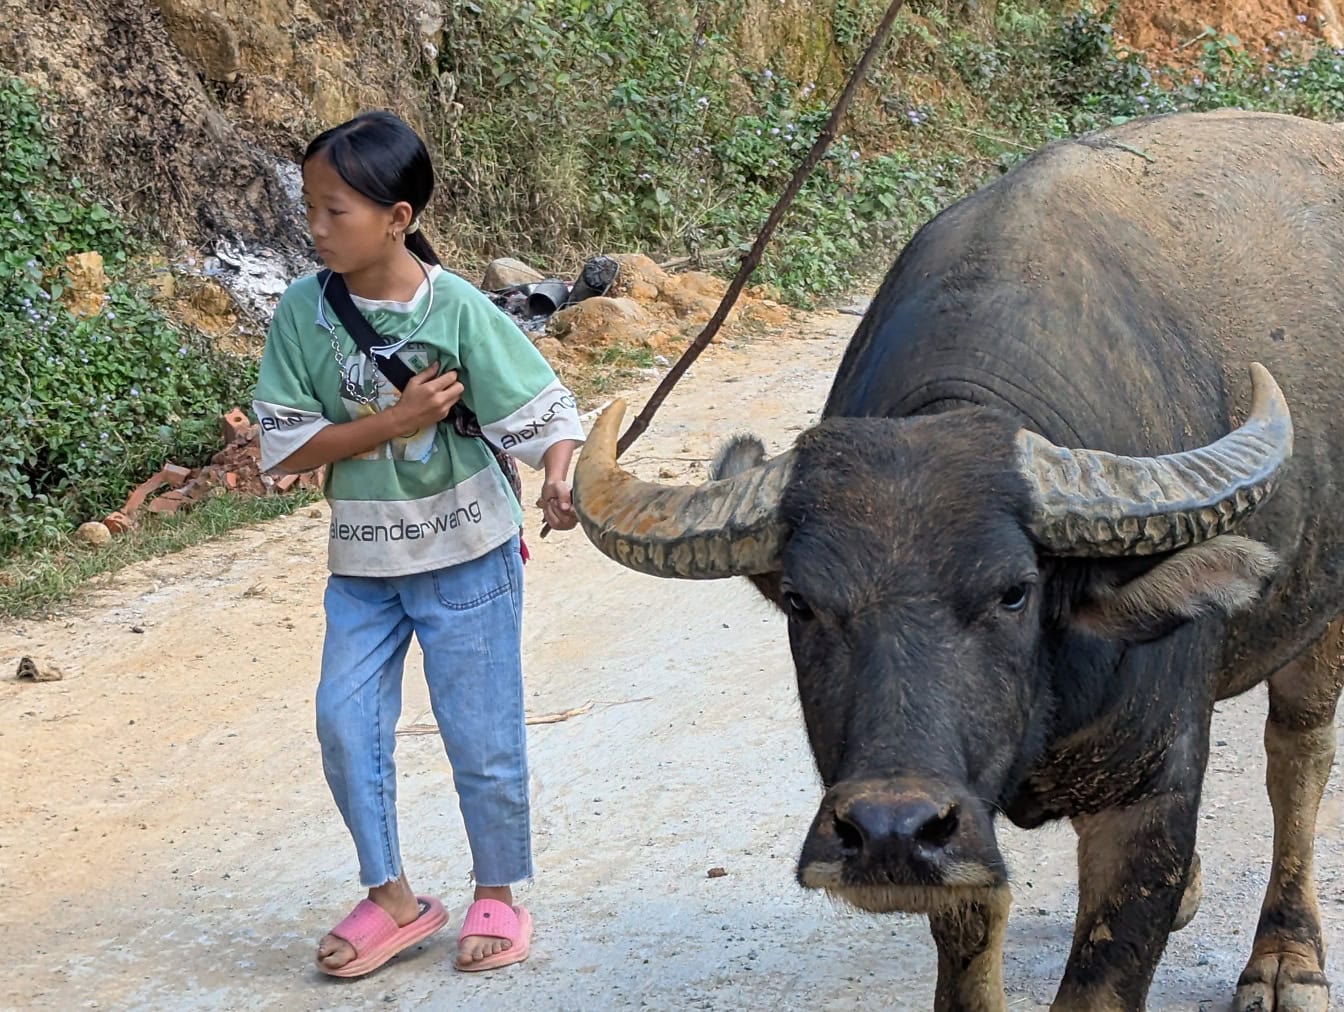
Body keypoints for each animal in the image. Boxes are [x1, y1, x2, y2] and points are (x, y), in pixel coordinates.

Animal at [569, 106, 1344, 1005]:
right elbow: (970, 939)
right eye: (801, 601)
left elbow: (1103, 976)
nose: (888, 832)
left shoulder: (1149, 798)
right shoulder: (963, 829)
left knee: (1299, 757)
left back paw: (1287, 958)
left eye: (1015, 592)